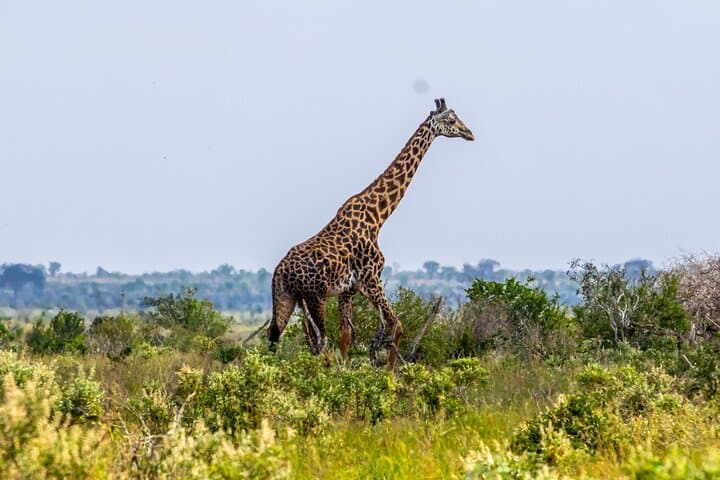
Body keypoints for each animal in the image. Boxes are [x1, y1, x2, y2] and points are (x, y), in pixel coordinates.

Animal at [267, 98, 474, 368]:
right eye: (451, 120)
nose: (469, 133)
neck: (378, 217)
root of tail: (280, 271)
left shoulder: (349, 289)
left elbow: (346, 335)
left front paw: (347, 370)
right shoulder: (370, 279)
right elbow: (396, 325)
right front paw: (389, 373)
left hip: (285, 297)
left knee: (276, 337)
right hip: (315, 297)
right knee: (319, 341)